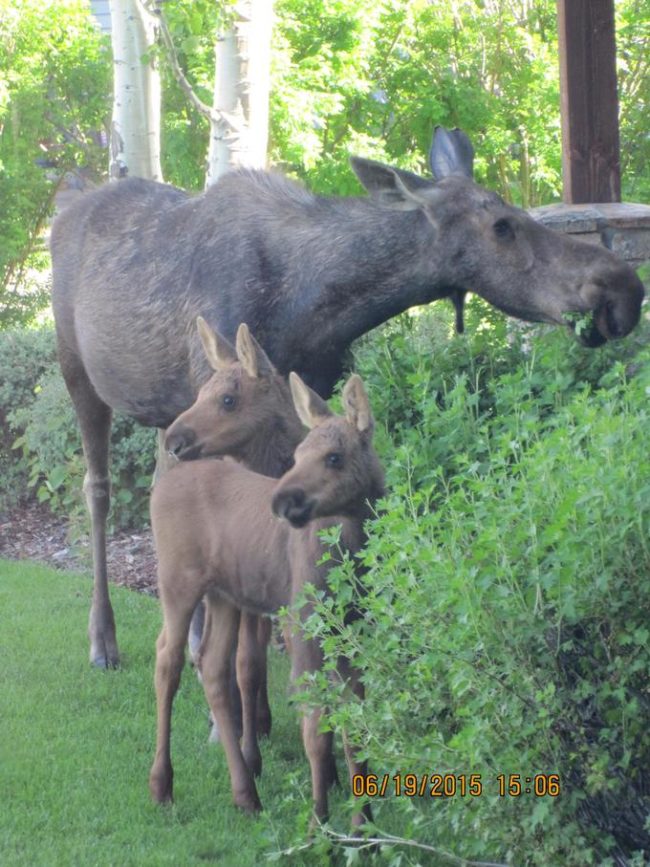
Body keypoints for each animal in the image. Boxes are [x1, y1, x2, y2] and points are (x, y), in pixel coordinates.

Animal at [50, 129, 644, 668]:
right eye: (502, 225)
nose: (623, 287)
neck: (317, 304)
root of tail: (67, 202)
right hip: (78, 371)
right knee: (97, 488)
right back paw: (104, 639)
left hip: (167, 411)